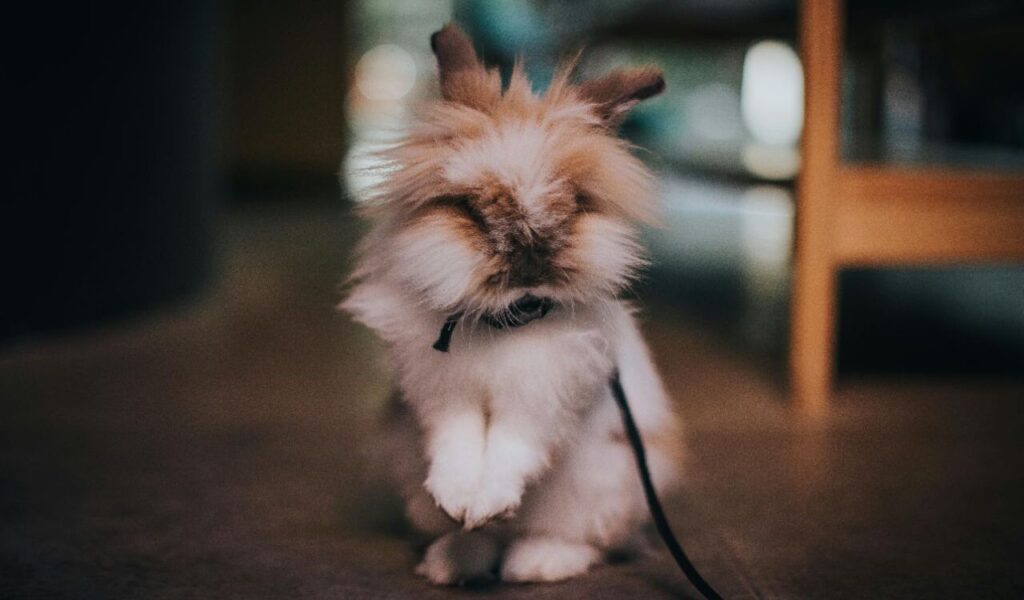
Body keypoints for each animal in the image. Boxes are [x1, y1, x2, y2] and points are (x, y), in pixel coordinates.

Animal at [341, 23, 682, 585]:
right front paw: (462, 503)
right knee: (482, 541)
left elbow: (511, 446)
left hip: (608, 487)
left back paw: (536, 563)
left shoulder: (545, 397)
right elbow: (457, 443)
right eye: (469, 209)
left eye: (574, 203)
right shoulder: (440, 395)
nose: (529, 258)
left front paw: (490, 503)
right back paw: (453, 560)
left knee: (582, 540)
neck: (507, 320)